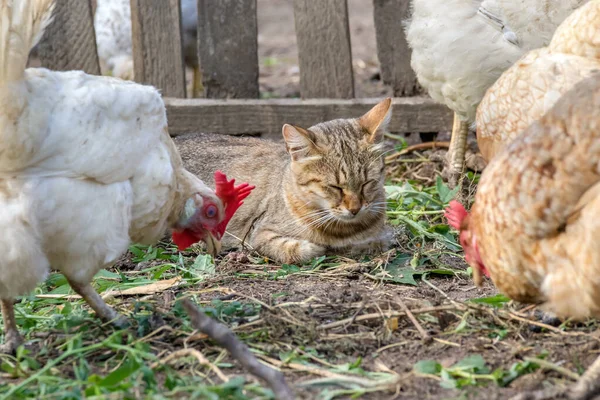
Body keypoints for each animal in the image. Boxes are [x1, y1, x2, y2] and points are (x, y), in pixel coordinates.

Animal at [172, 98, 394, 264]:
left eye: (367, 183)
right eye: (335, 187)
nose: (355, 209)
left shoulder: (378, 236)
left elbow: (375, 242)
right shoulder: (259, 233)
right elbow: (297, 250)